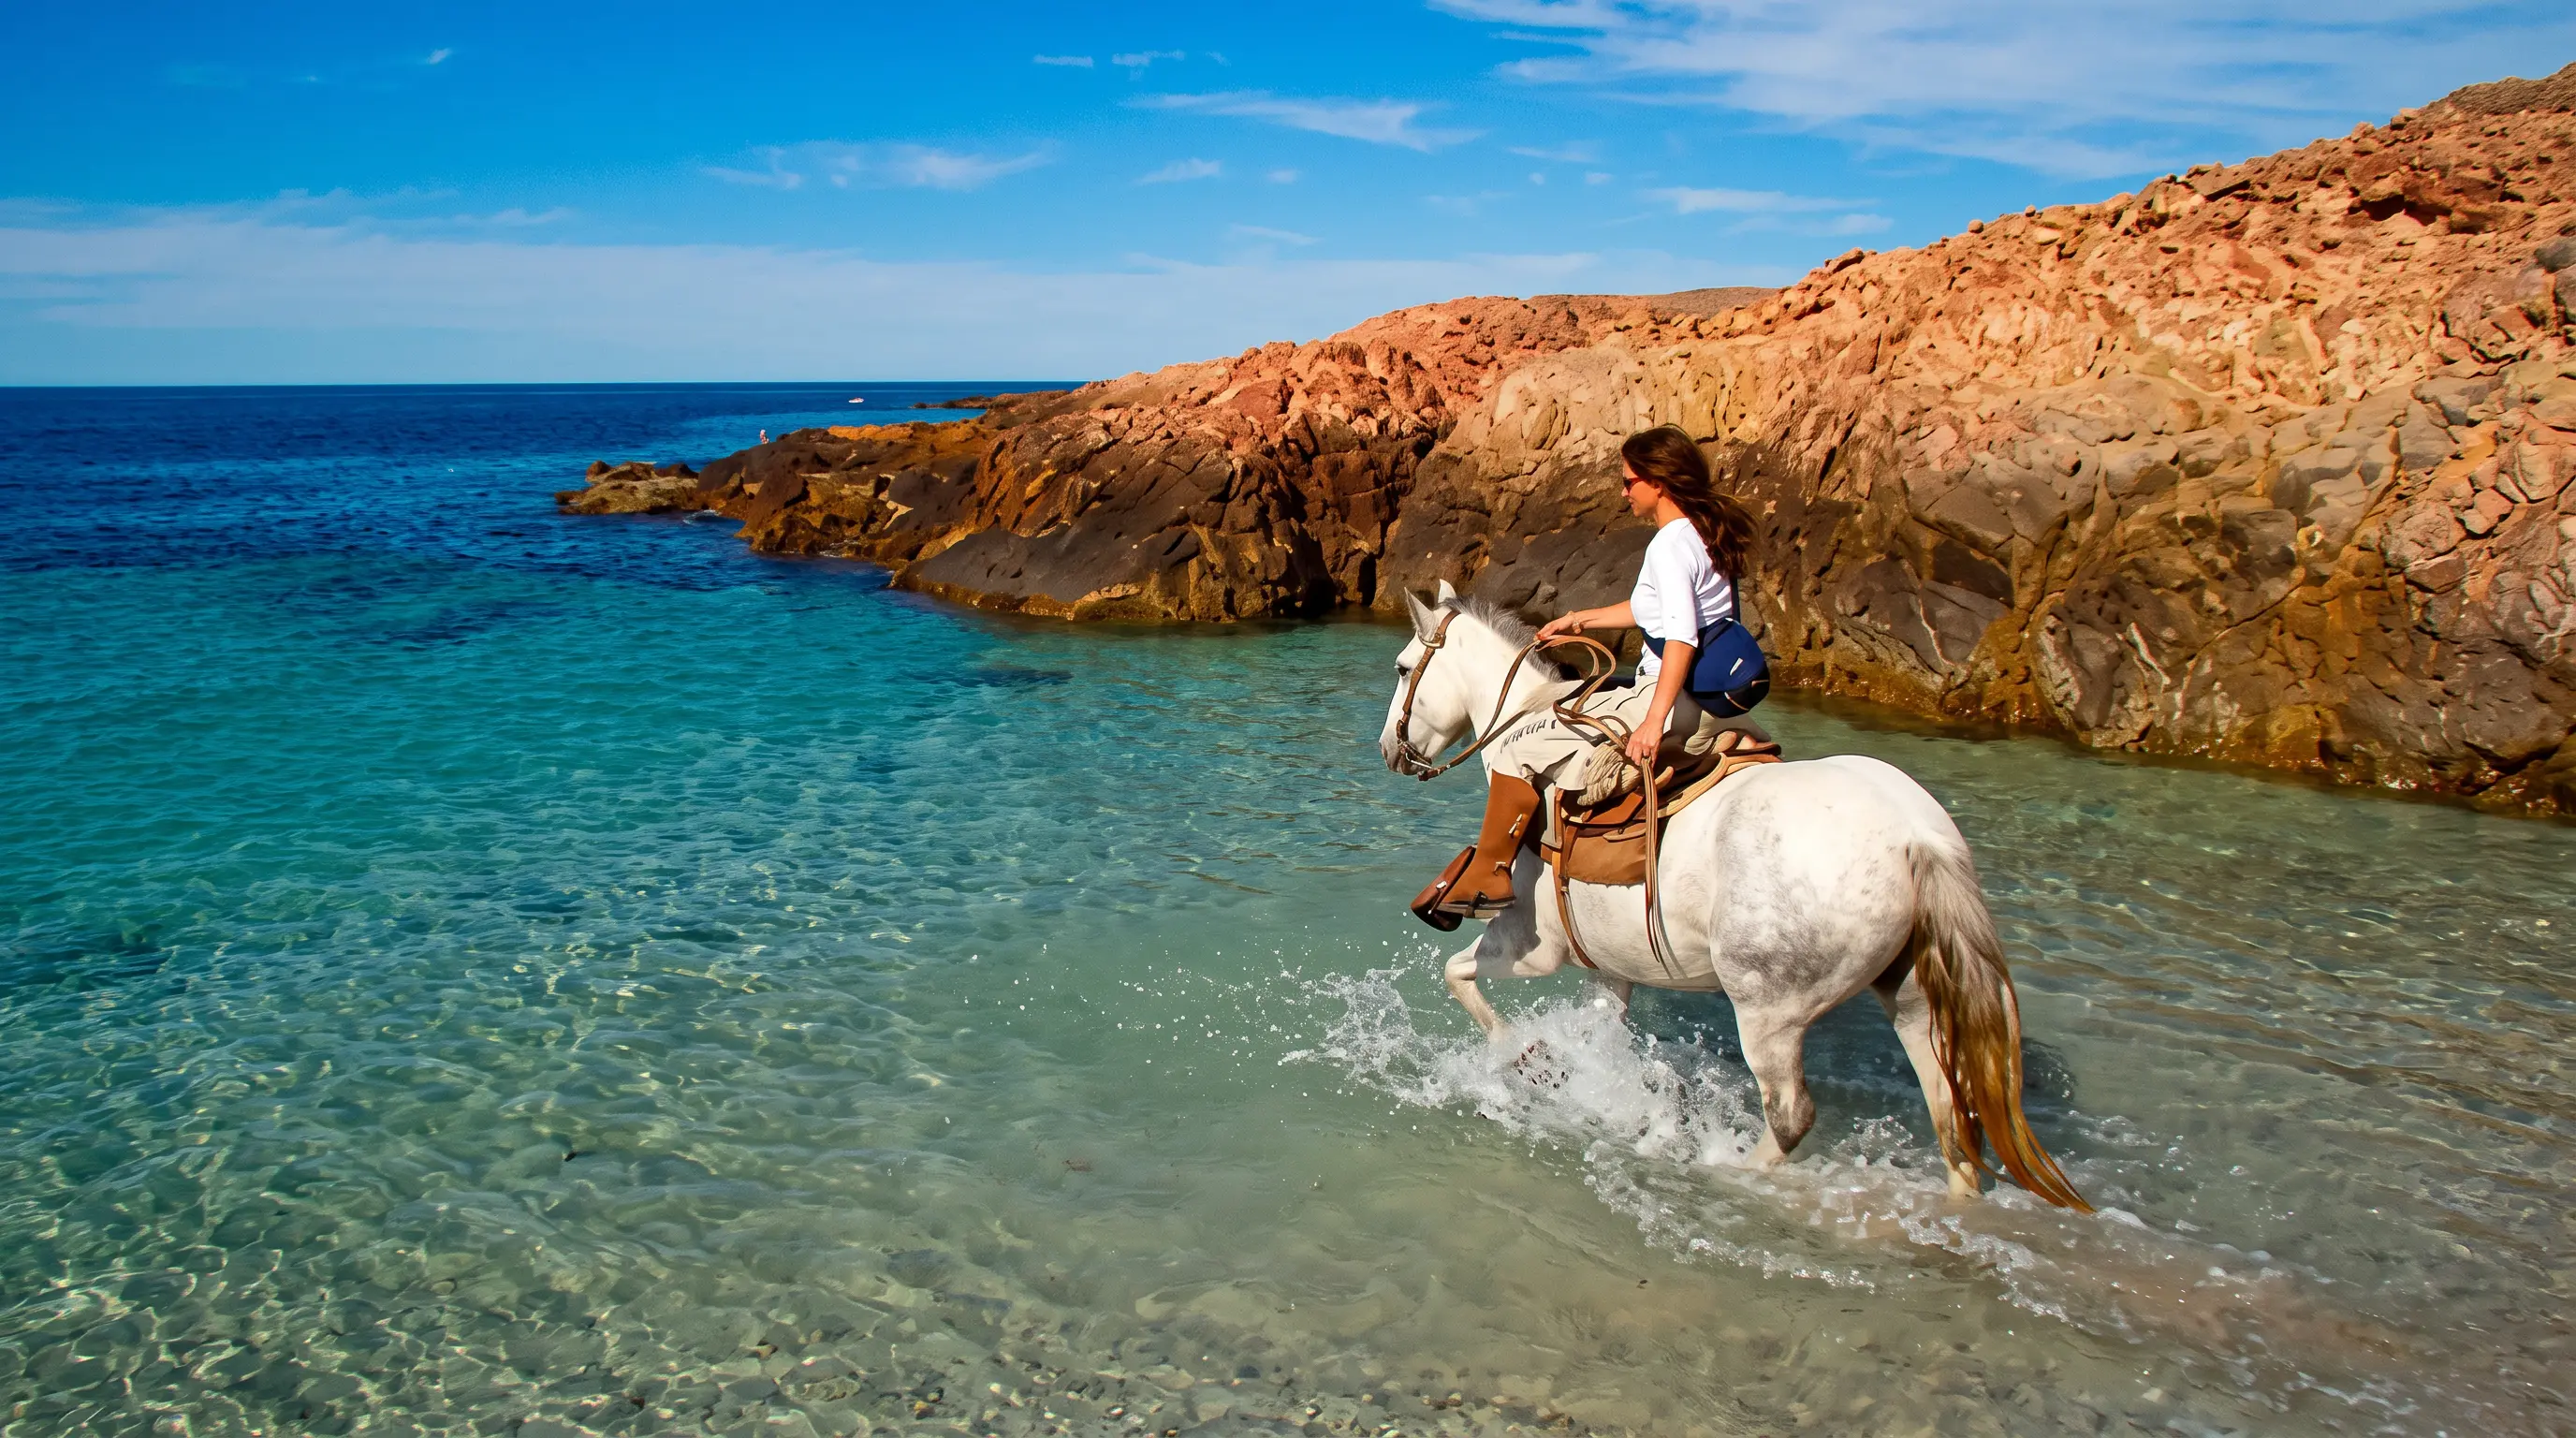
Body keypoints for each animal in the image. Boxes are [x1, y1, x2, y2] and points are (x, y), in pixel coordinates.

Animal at [1377, 585, 2088, 1210]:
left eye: (1405, 667)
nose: (1389, 750)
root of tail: (1916, 836)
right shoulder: (1610, 970)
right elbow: (1602, 1037)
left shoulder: (1531, 947)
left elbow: (1459, 977)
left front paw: (1527, 1058)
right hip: (1913, 998)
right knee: (1952, 1117)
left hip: (1769, 1012)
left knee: (1792, 1117)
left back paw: (1727, 1170)